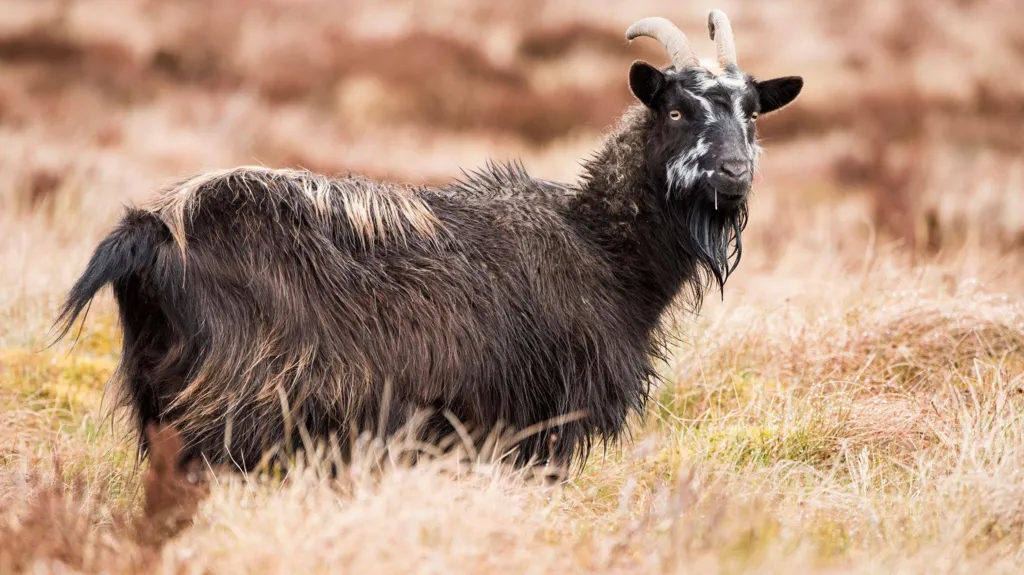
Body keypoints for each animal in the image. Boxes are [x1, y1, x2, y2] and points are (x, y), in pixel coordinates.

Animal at [55, 10, 803, 472]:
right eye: (675, 109)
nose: (735, 173)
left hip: (162, 399)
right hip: (235, 408)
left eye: (753, 114)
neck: (598, 249)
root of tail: (154, 230)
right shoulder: (536, 427)